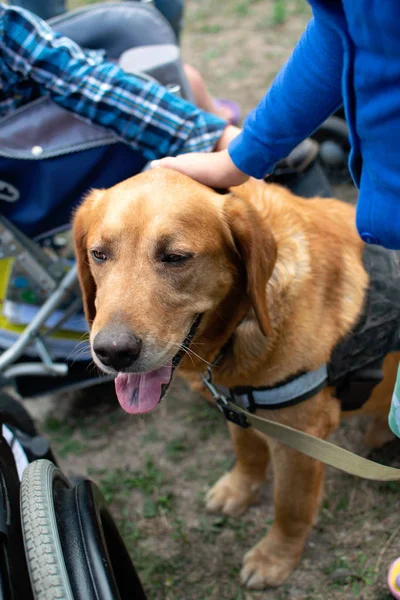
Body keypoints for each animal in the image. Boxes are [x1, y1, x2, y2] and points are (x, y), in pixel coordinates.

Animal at [72, 170, 400, 592]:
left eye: (175, 257)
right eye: (99, 254)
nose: (112, 352)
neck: (243, 321)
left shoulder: (300, 440)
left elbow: (290, 508)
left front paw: (275, 557)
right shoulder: (237, 405)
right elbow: (248, 453)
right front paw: (239, 489)